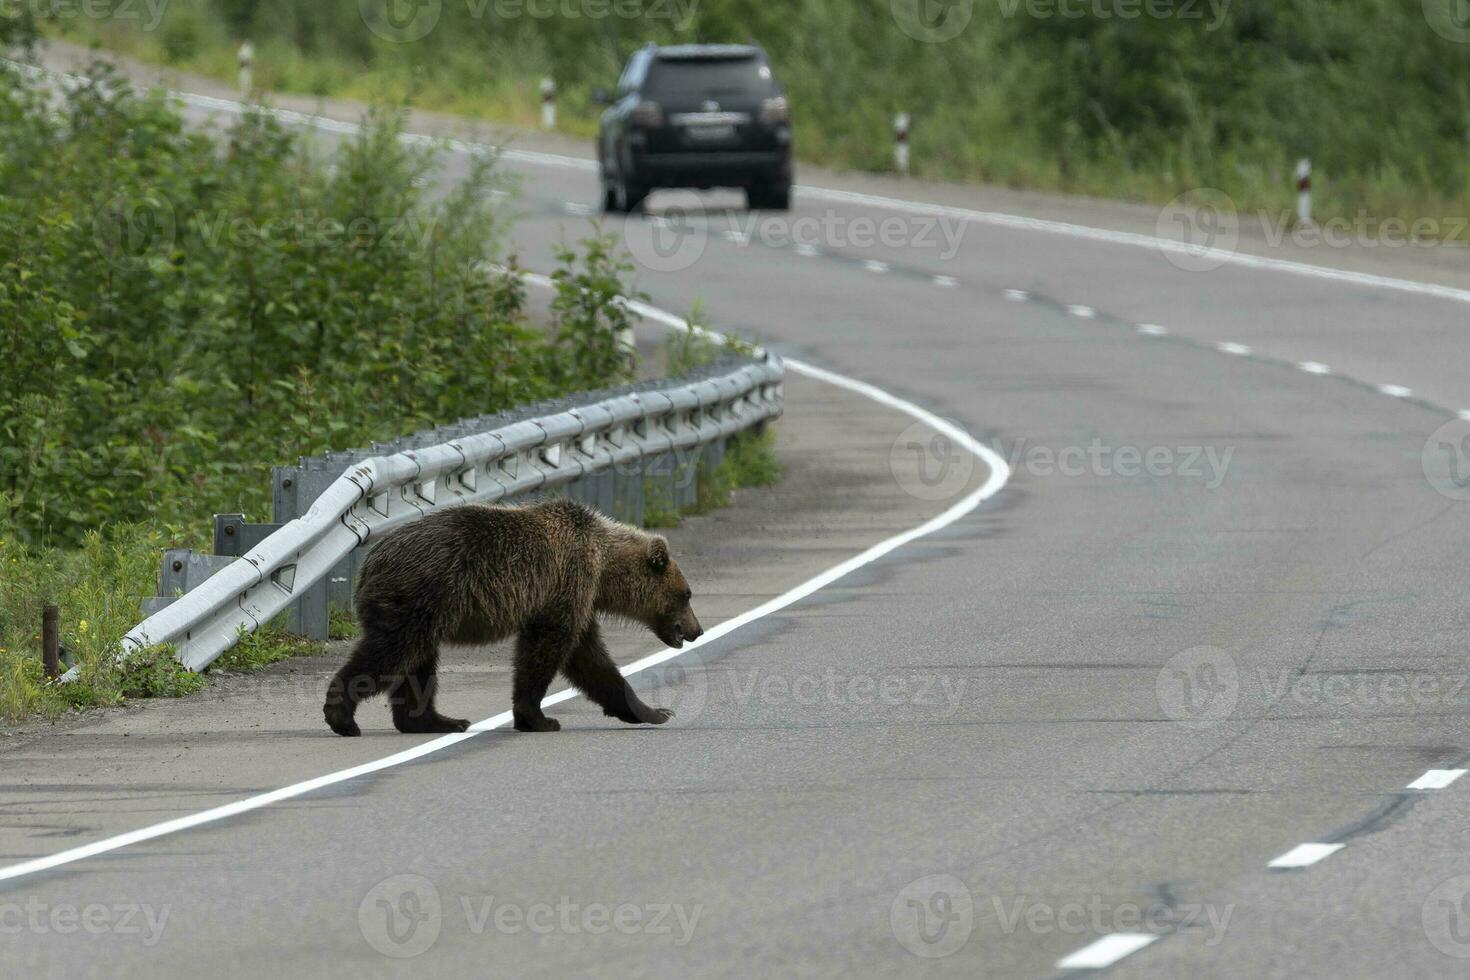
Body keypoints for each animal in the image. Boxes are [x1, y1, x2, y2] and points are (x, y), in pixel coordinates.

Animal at [324, 502, 702, 740]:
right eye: (686, 595)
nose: (696, 630)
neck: (603, 566)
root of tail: (371, 560)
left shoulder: (574, 600)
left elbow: (590, 659)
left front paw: (652, 711)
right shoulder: (563, 586)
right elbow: (548, 651)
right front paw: (539, 718)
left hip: (426, 612)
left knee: (418, 664)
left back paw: (439, 720)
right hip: (420, 596)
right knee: (391, 653)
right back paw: (342, 717)